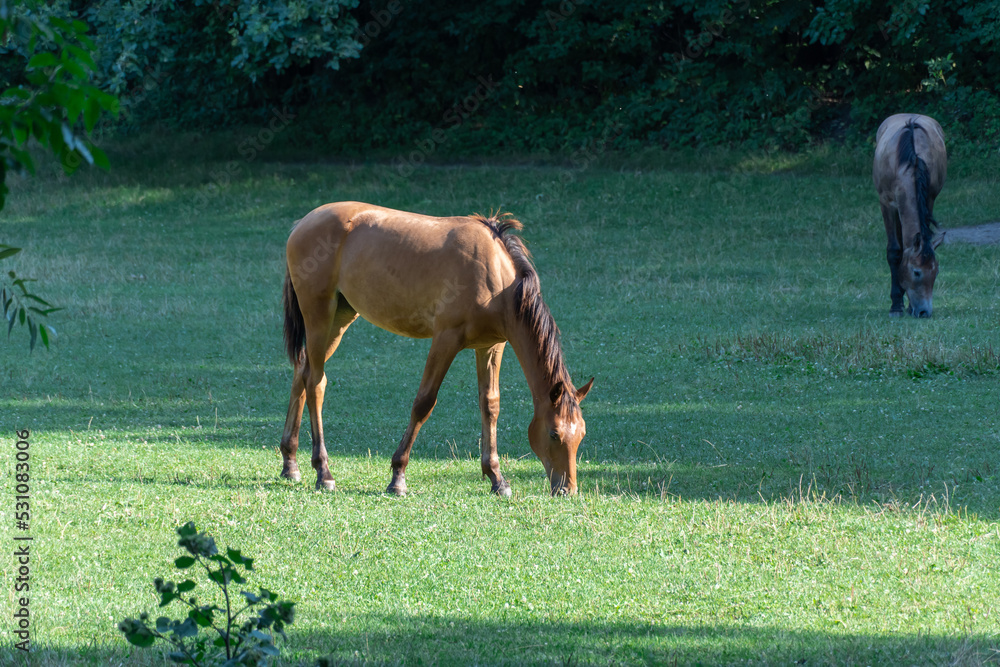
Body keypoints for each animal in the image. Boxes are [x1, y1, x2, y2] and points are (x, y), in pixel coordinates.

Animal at [278, 202, 593, 496]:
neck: (495, 275)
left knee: (302, 373)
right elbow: (424, 403)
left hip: (340, 319)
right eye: (554, 434)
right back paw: (323, 471)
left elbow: (490, 405)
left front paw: (496, 478)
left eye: (581, 435)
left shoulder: (491, 346)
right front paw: (398, 476)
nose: (567, 489)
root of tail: (301, 224)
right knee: (316, 382)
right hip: (319, 316)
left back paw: (290, 463)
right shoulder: (445, 339)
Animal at [873, 114, 947, 317]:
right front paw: (896, 304)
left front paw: (907, 305)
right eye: (916, 272)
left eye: (936, 272)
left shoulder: (928, 199)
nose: (924, 312)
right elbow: (894, 252)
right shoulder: (887, 204)